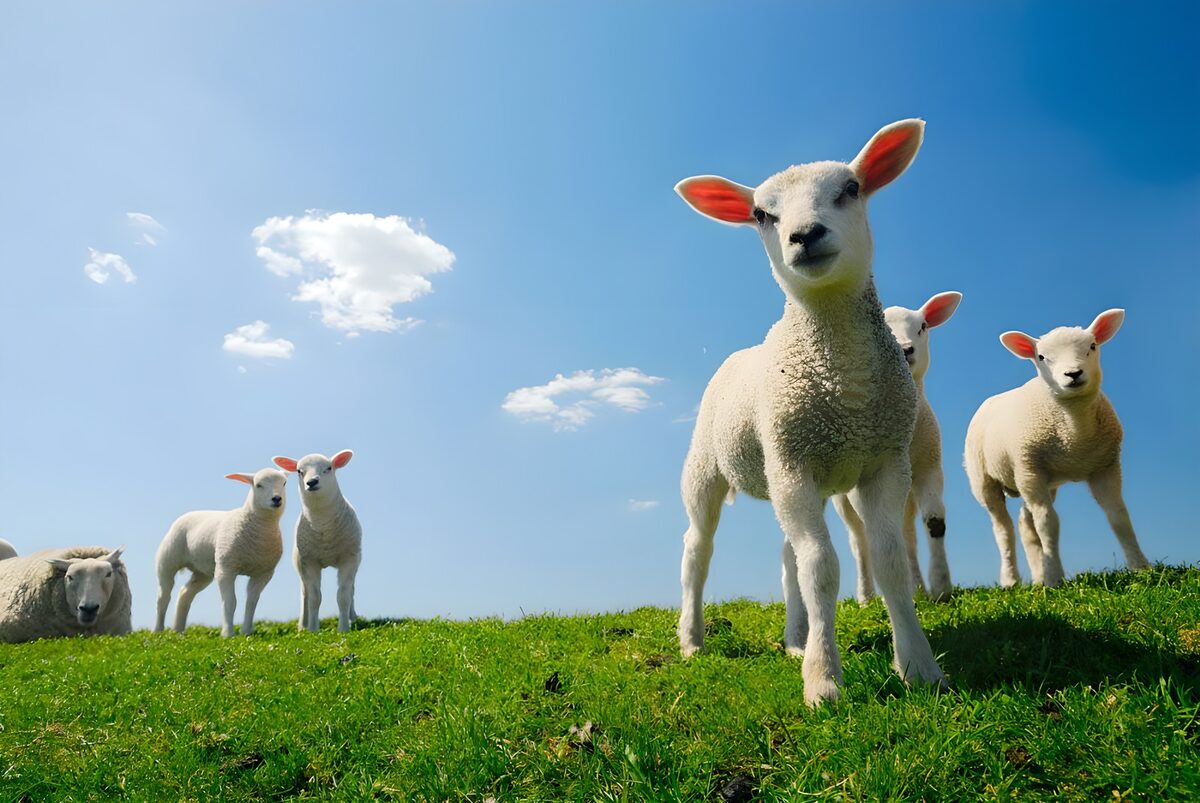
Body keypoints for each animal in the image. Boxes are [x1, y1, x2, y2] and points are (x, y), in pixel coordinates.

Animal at [154, 468, 287, 637]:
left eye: (284, 483)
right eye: (258, 485)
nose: (277, 499)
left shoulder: (263, 574)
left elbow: (251, 603)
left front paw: (246, 632)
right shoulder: (226, 569)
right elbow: (230, 602)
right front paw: (227, 634)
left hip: (202, 572)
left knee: (185, 593)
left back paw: (178, 630)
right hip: (167, 562)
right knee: (163, 597)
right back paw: (158, 631)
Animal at [272, 450, 362, 633]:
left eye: (329, 468)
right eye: (299, 471)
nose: (311, 482)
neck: (323, 526)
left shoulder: (348, 559)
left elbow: (343, 595)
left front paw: (343, 628)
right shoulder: (309, 561)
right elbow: (314, 597)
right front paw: (313, 629)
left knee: (352, 590)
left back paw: (352, 617)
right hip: (300, 564)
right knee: (304, 593)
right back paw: (303, 625)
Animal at [674, 119, 947, 705]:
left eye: (851, 189)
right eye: (761, 214)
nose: (805, 235)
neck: (846, 387)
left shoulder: (884, 461)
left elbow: (888, 560)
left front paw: (919, 665)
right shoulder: (793, 463)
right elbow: (821, 568)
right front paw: (823, 682)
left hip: (799, 472)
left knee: (787, 557)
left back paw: (795, 638)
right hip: (713, 467)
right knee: (697, 552)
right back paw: (692, 640)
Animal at [833, 291, 962, 604]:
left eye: (923, 327)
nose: (905, 350)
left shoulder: (930, 467)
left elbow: (934, 522)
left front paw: (940, 586)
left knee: (906, 535)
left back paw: (917, 587)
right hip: (843, 498)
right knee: (859, 539)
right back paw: (866, 596)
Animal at [965, 309, 1151, 587]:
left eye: (1092, 346)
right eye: (1041, 357)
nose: (1073, 374)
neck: (1074, 433)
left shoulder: (1106, 466)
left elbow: (1118, 516)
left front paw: (1141, 567)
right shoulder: (1030, 469)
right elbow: (1048, 523)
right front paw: (1055, 578)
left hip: (1036, 479)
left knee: (1025, 524)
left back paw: (1038, 576)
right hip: (986, 478)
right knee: (1003, 529)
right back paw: (1011, 580)